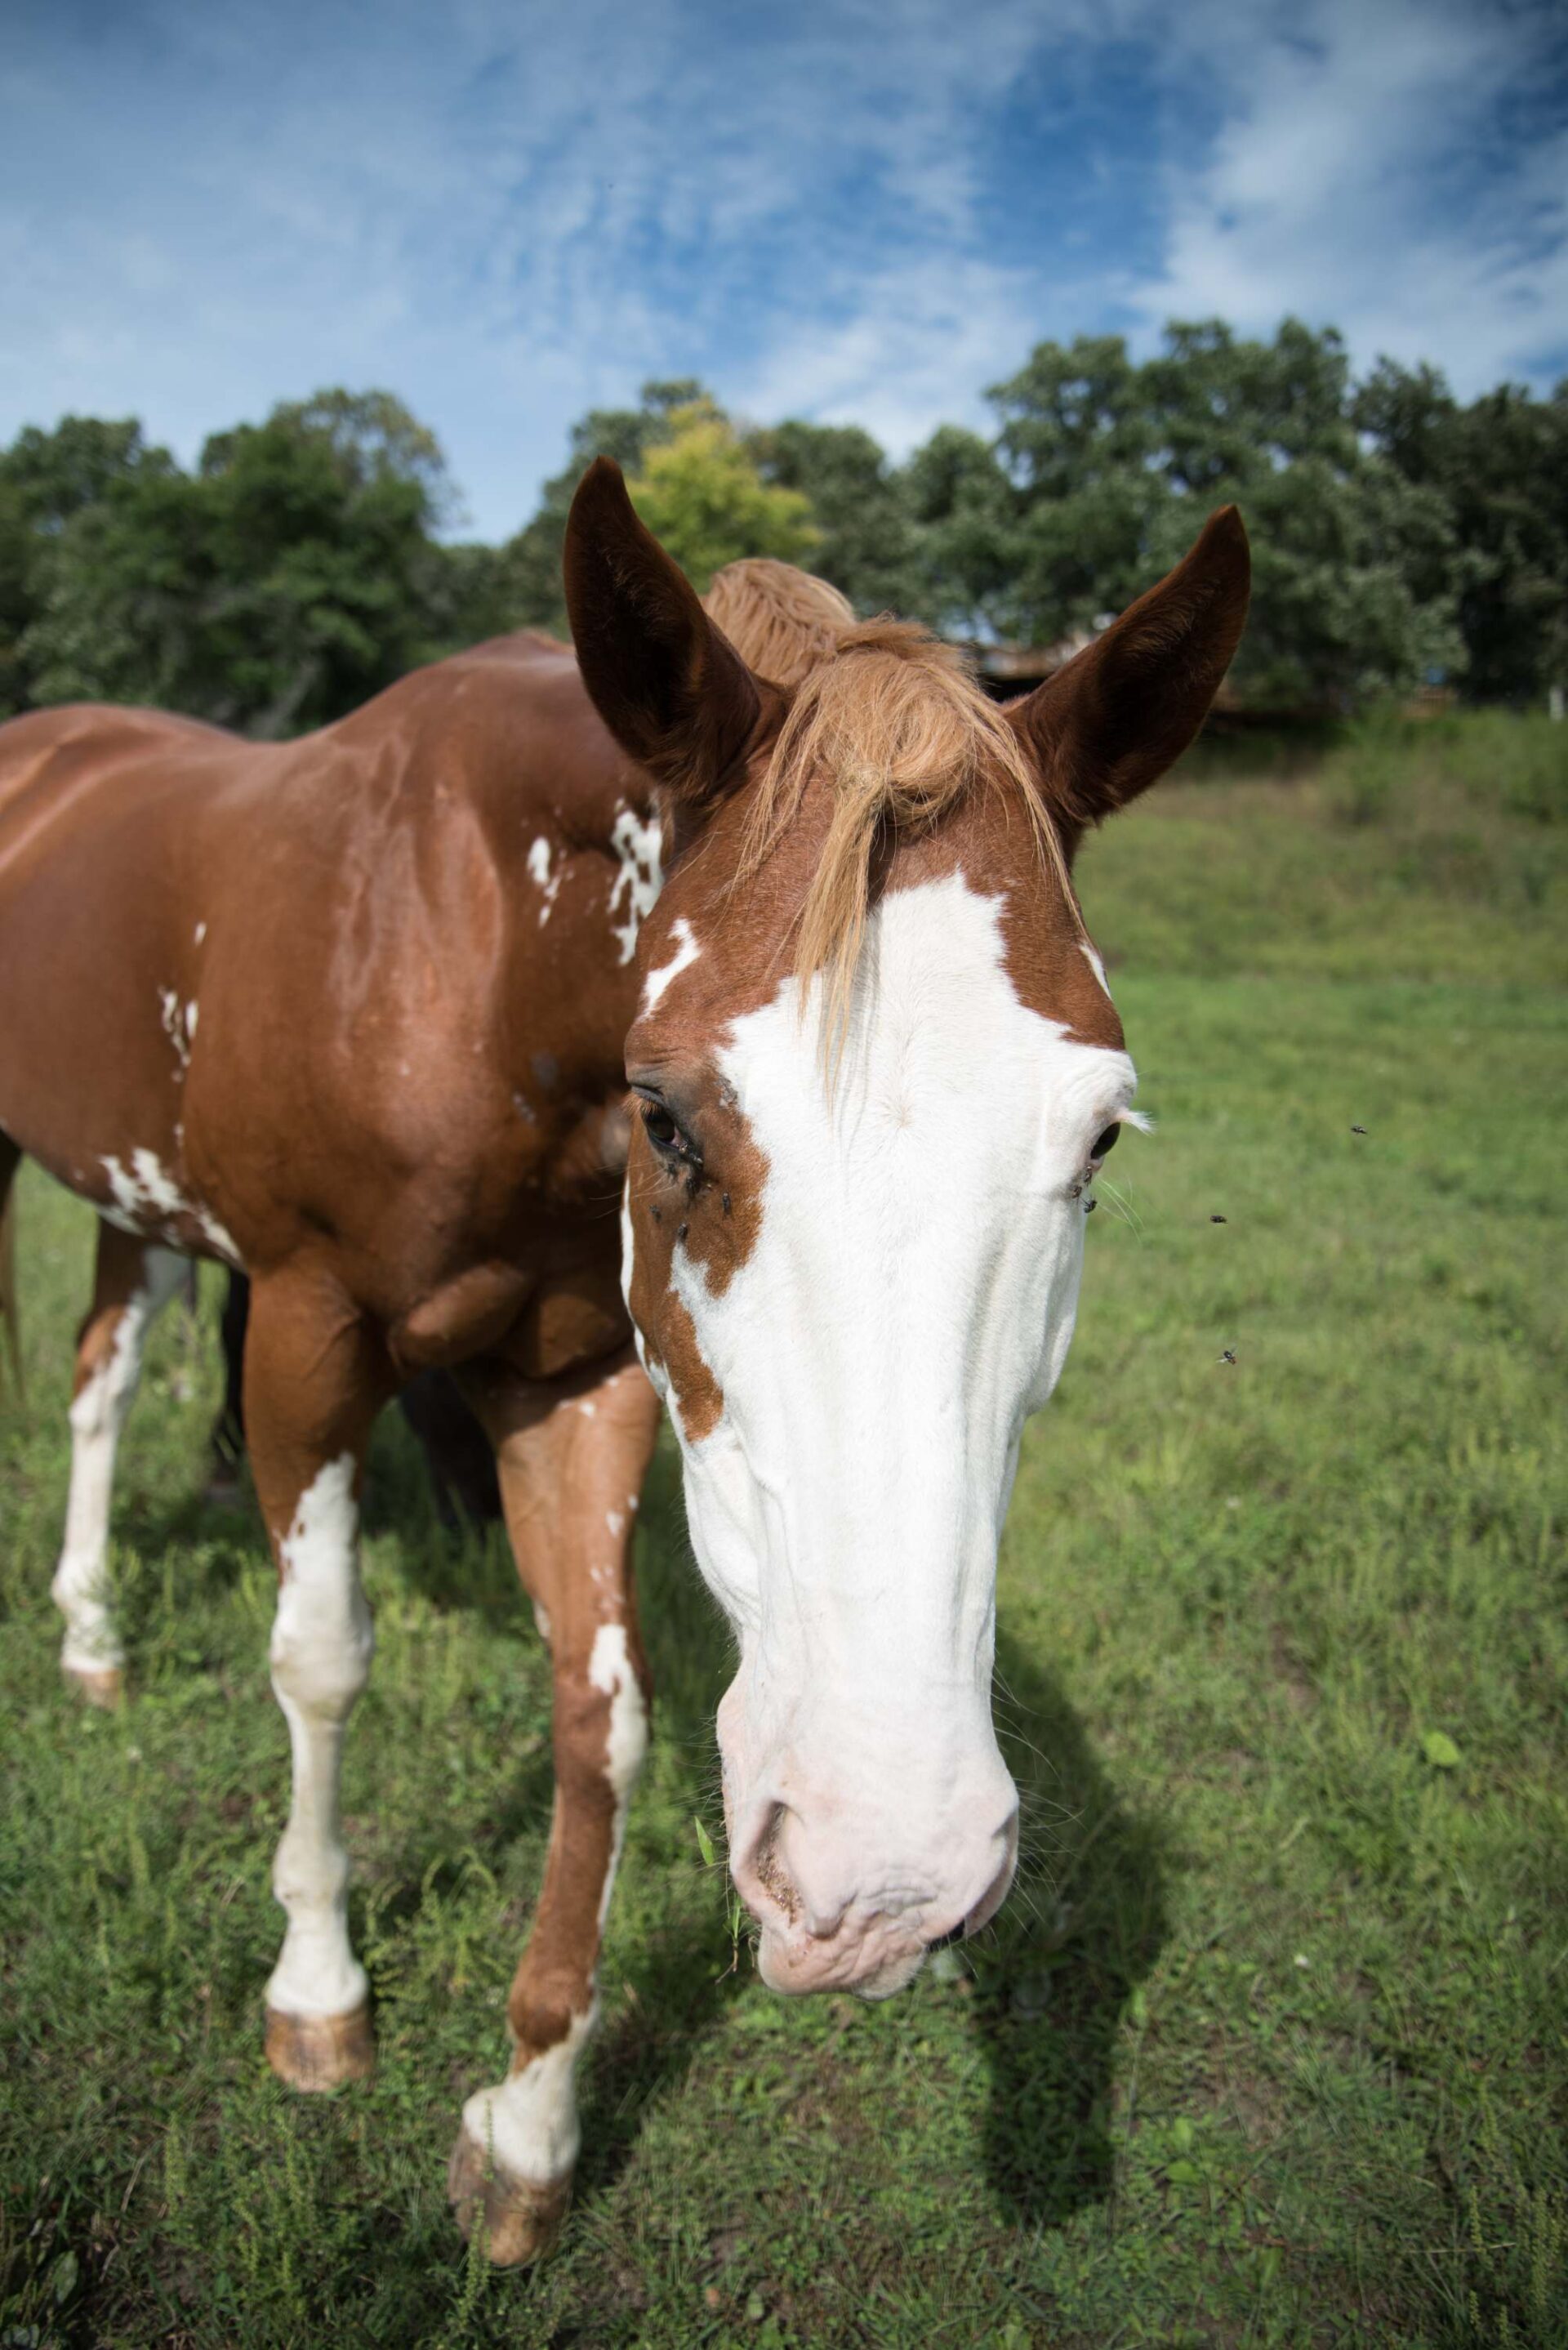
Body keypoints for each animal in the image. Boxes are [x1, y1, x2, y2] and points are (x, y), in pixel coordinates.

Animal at [0, 462, 1250, 2255]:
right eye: (666, 1115)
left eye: (1097, 1138)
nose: (887, 1872)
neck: (460, 944)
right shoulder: (312, 1325)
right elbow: (320, 1660)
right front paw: (317, 1989)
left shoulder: (579, 1376)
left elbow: (603, 1719)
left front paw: (528, 2127)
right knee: (102, 1380)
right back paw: (93, 1626)